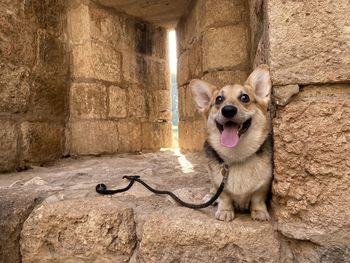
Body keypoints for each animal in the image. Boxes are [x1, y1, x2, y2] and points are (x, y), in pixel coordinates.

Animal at [190, 65, 272, 222]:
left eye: (245, 97)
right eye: (219, 99)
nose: (228, 110)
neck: (237, 156)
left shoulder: (263, 185)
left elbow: (257, 199)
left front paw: (259, 212)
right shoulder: (219, 184)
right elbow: (224, 197)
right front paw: (225, 211)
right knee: (212, 190)